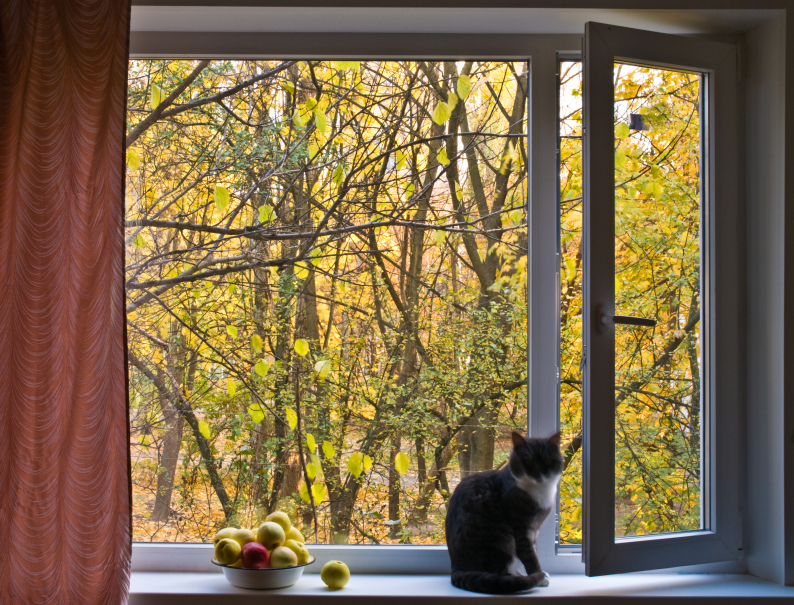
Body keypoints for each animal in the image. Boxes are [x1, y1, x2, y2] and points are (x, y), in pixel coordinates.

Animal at [442, 430, 560, 596]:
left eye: (549, 461)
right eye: (528, 462)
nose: (539, 475)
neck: (539, 490)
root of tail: (456, 568)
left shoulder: (534, 529)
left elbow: (534, 550)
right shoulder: (520, 528)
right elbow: (529, 555)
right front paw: (539, 575)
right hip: (499, 537)